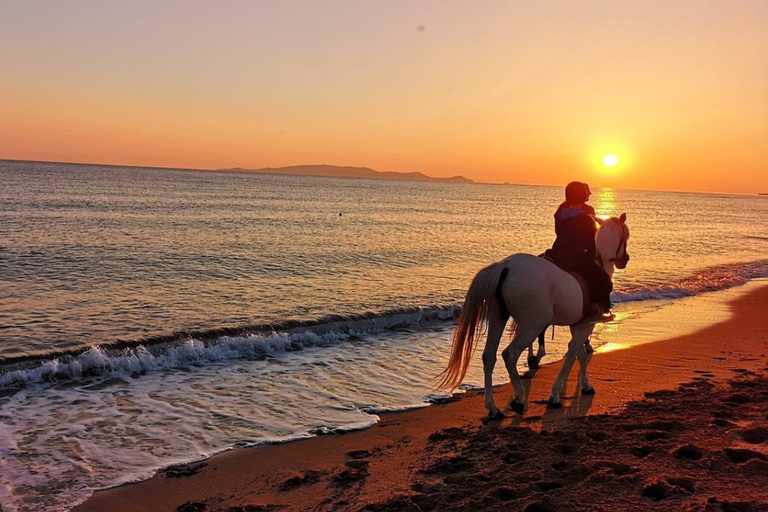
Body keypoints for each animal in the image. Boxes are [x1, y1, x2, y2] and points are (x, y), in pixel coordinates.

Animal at [437, 214, 630, 419]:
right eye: (625, 236)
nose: (625, 259)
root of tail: (506, 266)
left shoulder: (577, 325)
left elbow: (578, 353)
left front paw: (584, 385)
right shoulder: (586, 325)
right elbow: (573, 355)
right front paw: (555, 394)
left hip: (498, 318)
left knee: (489, 356)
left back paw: (493, 408)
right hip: (532, 326)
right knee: (510, 354)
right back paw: (519, 398)